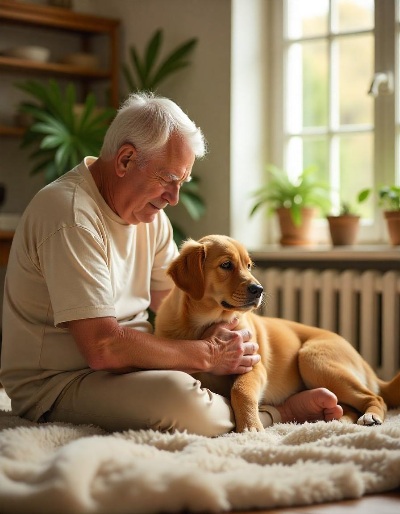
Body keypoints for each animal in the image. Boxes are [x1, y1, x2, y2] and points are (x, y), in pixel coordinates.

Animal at [154, 234, 400, 430]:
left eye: (249, 265)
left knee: (376, 397)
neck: (204, 324)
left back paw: (370, 416)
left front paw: (250, 428)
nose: (259, 289)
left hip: (312, 359)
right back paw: (334, 419)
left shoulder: (253, 364)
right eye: (226, 265)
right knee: (349, 405)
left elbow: (240, 391)